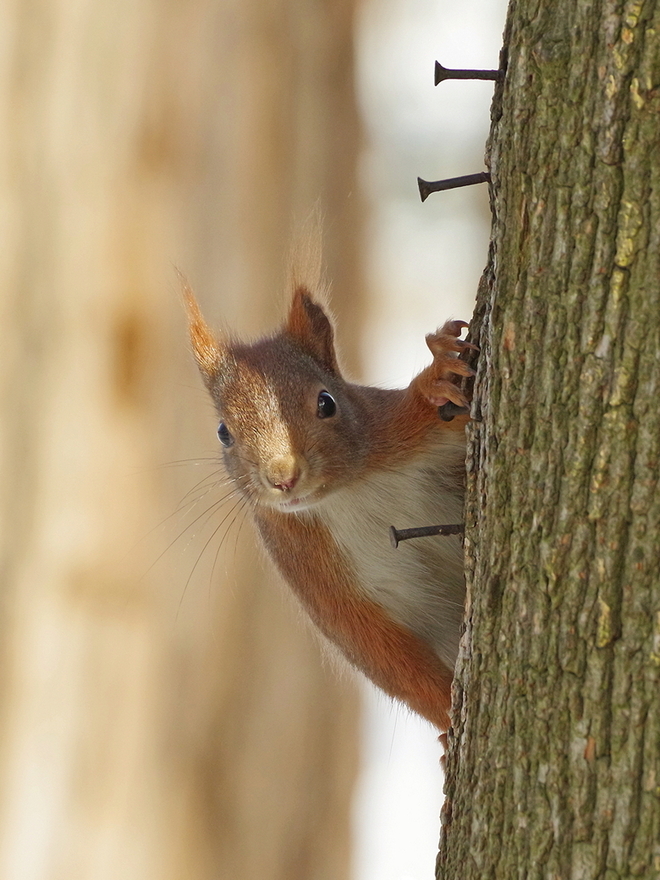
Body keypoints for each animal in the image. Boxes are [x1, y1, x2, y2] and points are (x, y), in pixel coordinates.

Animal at [184, 276, 474, 728]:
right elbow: (383, 652)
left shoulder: (401, 430)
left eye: (327, 402)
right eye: (223, 432)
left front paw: (437, 374)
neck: (347, 492)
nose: (282, 476)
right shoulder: (316, 575)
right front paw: (447, 715)